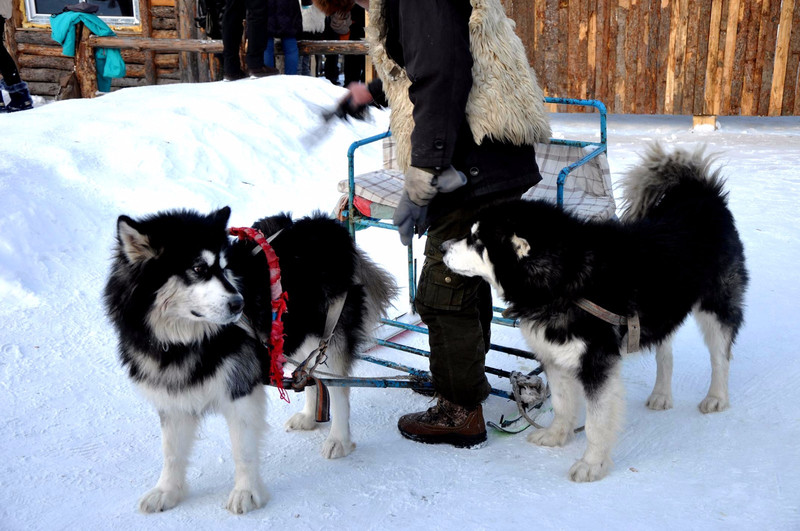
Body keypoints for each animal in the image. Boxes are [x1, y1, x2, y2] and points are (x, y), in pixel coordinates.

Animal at [103, 209, 396, 516]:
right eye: (198, 269)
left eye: (223, 268)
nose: (238, 304)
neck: (185, 341)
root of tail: (326, 224)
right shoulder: (172, 392)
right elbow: (171, 451)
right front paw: (167, 491)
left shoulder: (240, 388)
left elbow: (242, 450)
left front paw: (246, 492)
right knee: (309, 372)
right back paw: (308, 416)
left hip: (328, 334)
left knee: (338, 388)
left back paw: (339, 438)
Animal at [444, 144, 752, 482]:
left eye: (476, 241)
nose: (442, 246)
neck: (565, 281)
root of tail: (701, 194)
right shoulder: (554, 356)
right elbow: (562, 403)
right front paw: (557, 435)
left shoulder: (597, 364)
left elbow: (596, 422)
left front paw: (592, 464)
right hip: (657, 313)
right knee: (665, 353)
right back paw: (661, 394)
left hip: (716, 305)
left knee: (720, 355)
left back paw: (716, 397)